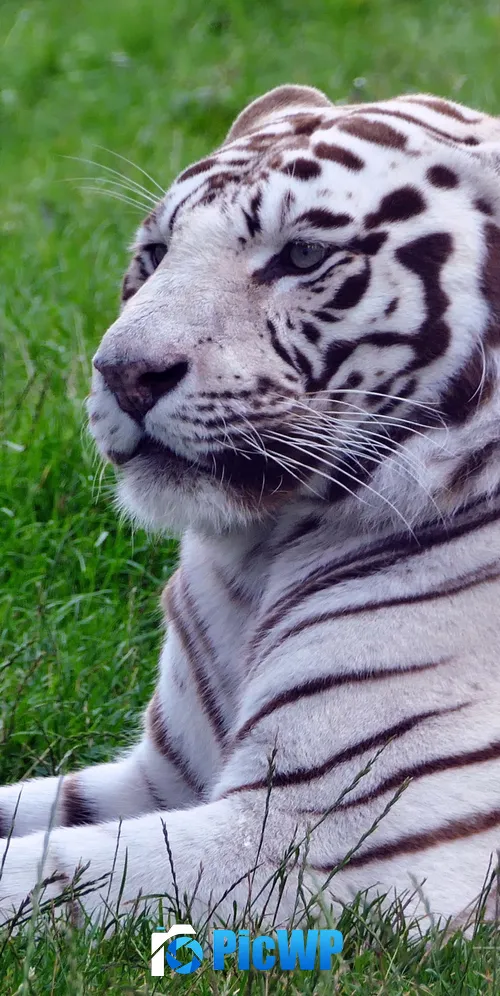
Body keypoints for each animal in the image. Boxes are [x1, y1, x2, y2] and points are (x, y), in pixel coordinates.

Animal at [1, 83, 500, 934]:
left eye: (301, 257)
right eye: (155, 254)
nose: (123, 373)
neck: (261, 555)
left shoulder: (326, 839)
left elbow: (45, 871)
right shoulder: (163, 777)